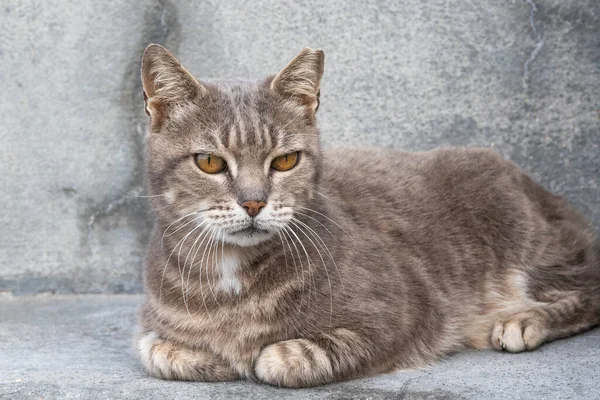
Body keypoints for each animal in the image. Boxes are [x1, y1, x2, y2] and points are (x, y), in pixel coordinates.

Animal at [136, 44, 600, 388]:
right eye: (210, 162)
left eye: (285, 161)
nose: (253, 202)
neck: (229, 277)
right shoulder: (151, 330)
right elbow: (154, 349)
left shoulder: (402, 311)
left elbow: (285, 358)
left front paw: (258, 355)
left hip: (531, 241)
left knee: (590, 288)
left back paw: (522, 319)